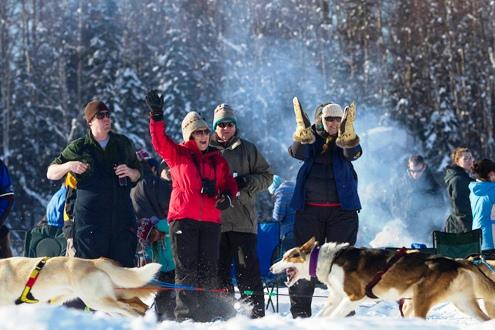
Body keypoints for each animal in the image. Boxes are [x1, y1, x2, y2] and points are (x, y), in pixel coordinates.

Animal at [272, 237, 495, 320]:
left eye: (286, 257)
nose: (270, 267)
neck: (329, 260)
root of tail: (456, 261)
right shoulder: (335, 298)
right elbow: (323, 315)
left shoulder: (354, 297)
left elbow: (334, 315)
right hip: (463, 303)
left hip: (420, 299)